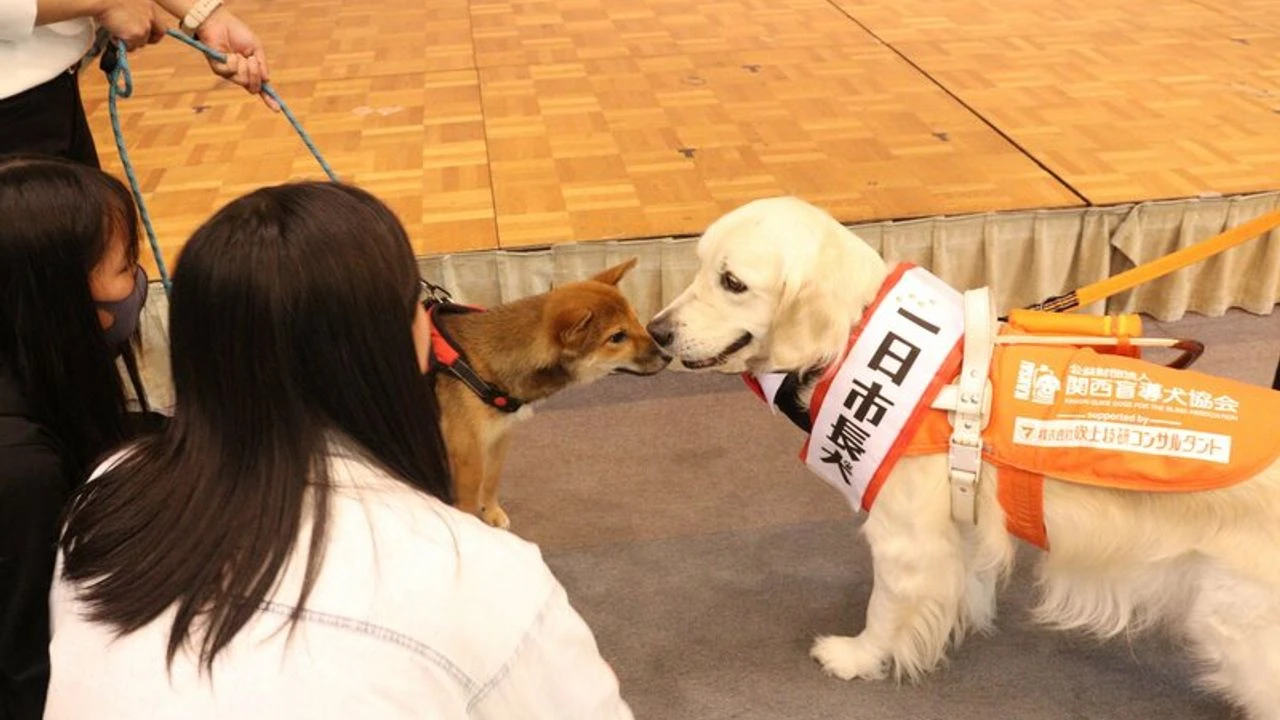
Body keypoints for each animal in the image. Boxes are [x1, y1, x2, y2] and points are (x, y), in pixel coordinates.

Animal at [430, 257, 670, 527]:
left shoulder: (500, 438)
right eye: (617, 337)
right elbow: (468, 504)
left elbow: (491, 482)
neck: (480, 364)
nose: (667, 356)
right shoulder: (467, 454)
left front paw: (491, 512)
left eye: (636, 319)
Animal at [645, 193, 1280, 712]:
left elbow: (884, 609)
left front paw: (856, 657)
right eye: (699, 265)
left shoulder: (903, 540)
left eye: (732, 282)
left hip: (1240, 628)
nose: (655, 331)